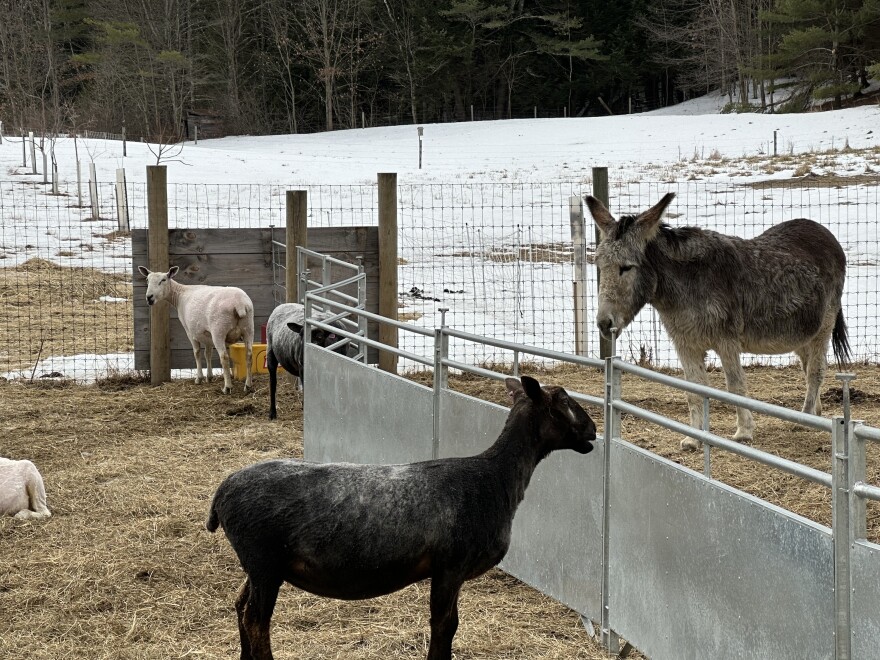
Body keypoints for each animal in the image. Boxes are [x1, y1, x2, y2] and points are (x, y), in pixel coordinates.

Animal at [138, 265, 255, 394]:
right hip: (248, 328)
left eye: (163, 280)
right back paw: (248, 386)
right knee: (249, 355)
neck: (179, 295)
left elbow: (197, 353)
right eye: (147, 280)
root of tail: (239, 304)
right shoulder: (207, 334)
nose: (149, 297)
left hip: (219, 330)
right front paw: (209, 377)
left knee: (224, 357)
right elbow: (207, 353)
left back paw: (227, 387)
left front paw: (199, 378)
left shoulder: (190, 331)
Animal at [206, 375, 597, 660]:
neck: (494, 478)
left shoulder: (449, 570)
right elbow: (444, 625)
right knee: (256, 621)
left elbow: (448, 624)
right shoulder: (450, 565)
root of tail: (222, 492)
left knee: (240, 607)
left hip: (259, 566)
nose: (593, 431)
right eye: (563, 400)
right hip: (264, 561)